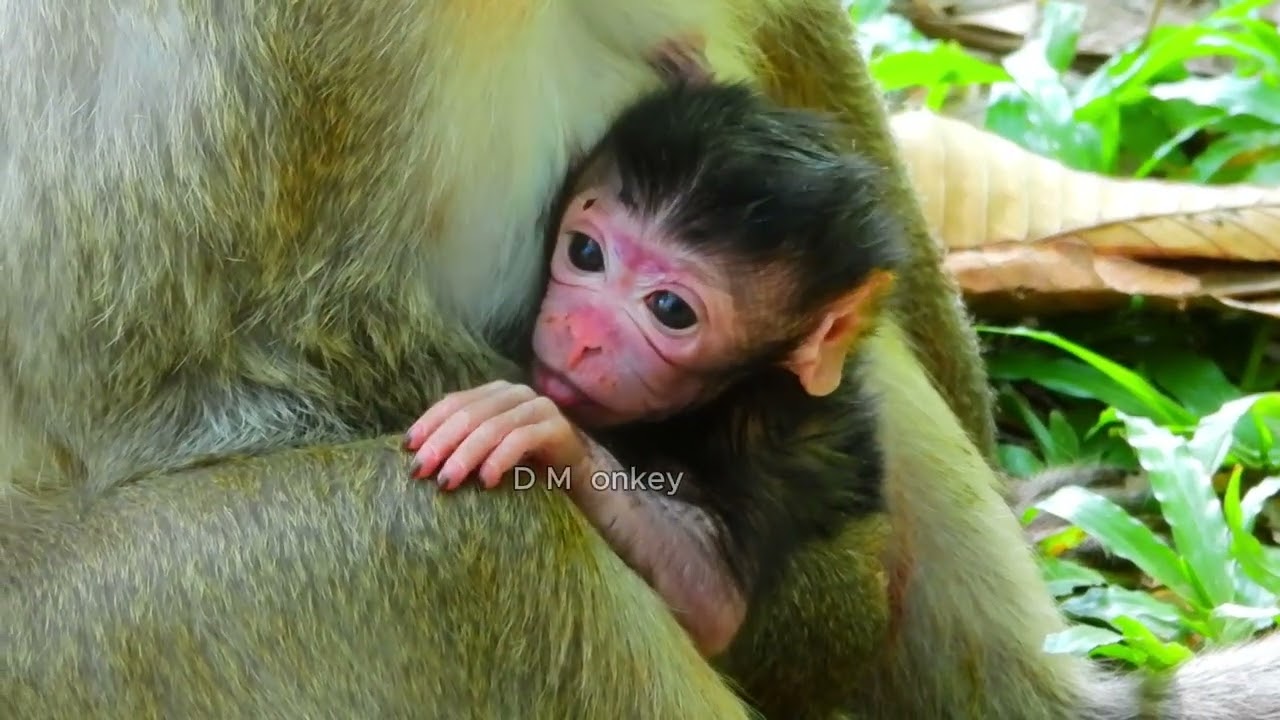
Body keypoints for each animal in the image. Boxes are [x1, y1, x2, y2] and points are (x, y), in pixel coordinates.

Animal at [402, 79, 902, 657]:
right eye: (585, 252)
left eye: (670, 309)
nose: (581, 334)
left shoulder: (775, 435)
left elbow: (713, 598)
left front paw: (552, 437)